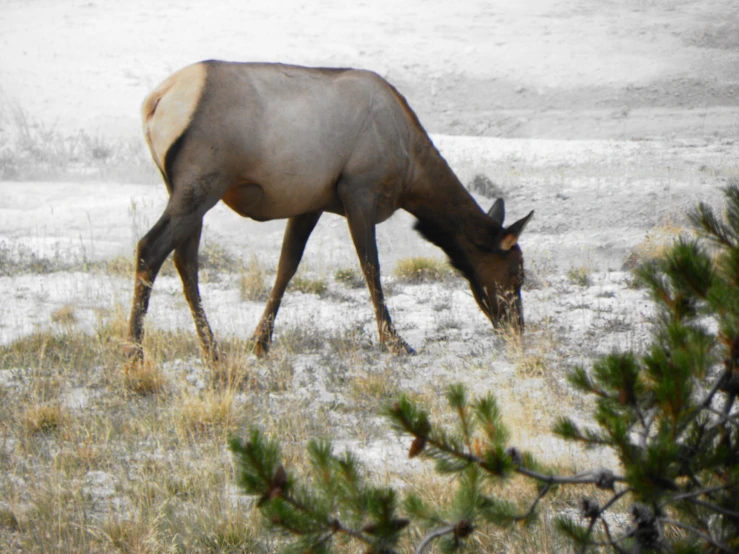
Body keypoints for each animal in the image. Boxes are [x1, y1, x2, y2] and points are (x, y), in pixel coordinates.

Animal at [125, 60, 532, 358]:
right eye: (516, 273)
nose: (517, 330)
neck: (411, 173)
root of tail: (154, 103)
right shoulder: (359, 191)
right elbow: (371, 268)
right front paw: (394, 341)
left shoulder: (310, 202)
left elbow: (286, 267)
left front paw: (260, 340)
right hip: (202, 183)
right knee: (150, 248)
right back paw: (134, 352)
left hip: (186, 190)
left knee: (185, 260)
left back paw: (211, 349)